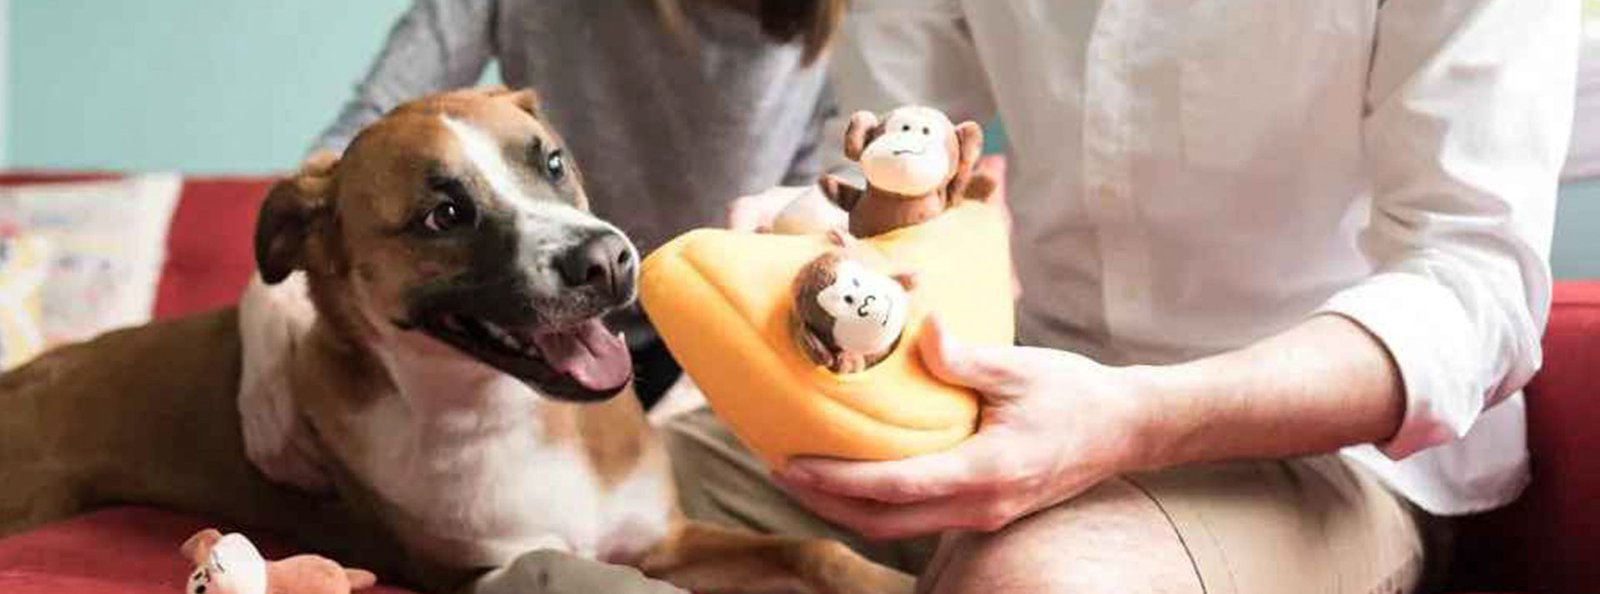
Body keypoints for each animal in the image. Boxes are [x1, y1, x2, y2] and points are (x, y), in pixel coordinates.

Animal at [0, 86, 915, 594]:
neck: (514, 414)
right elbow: (557, 566)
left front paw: (890, 577)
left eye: (552, 163)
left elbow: (815, 552)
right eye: (444, 215)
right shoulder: (475, 571)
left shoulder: (665, 539)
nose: (612, 260)